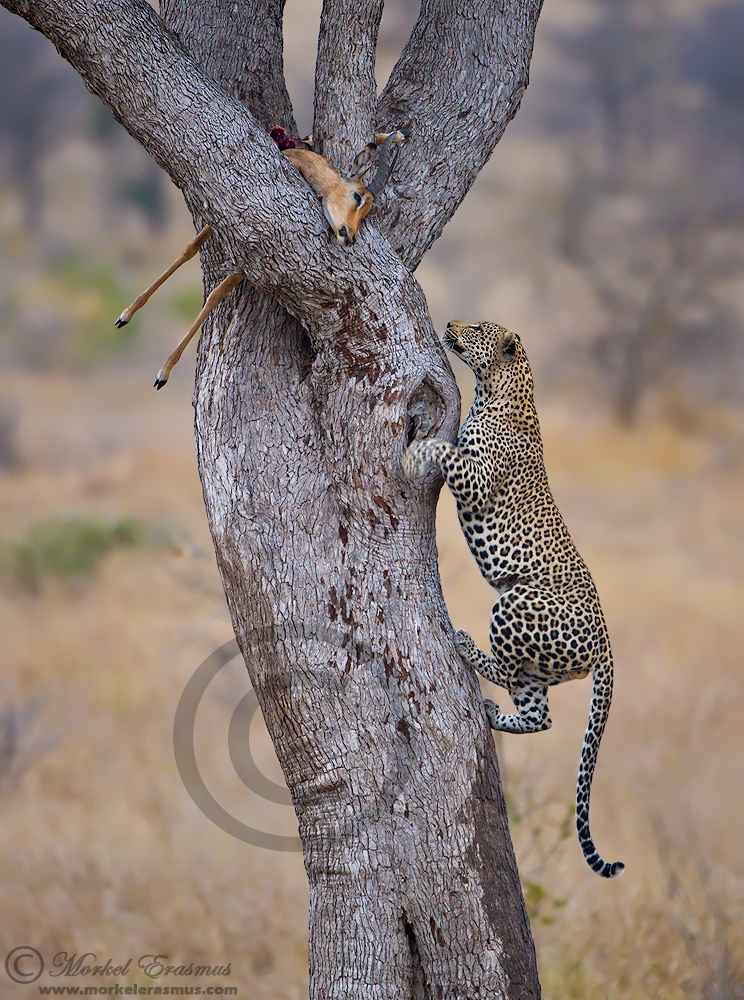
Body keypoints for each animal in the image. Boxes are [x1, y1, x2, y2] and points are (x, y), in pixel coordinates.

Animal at [403, 320, 624, 879]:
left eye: (479, 329)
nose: (451, 323)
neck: (496, 389)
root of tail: (608, 643)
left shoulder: (475, 478)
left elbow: (444, 450)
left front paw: (415, 448)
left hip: (514, 601)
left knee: (505, 670)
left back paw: (464, 644)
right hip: (543, 664)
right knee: (539, 714)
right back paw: (492, 711)